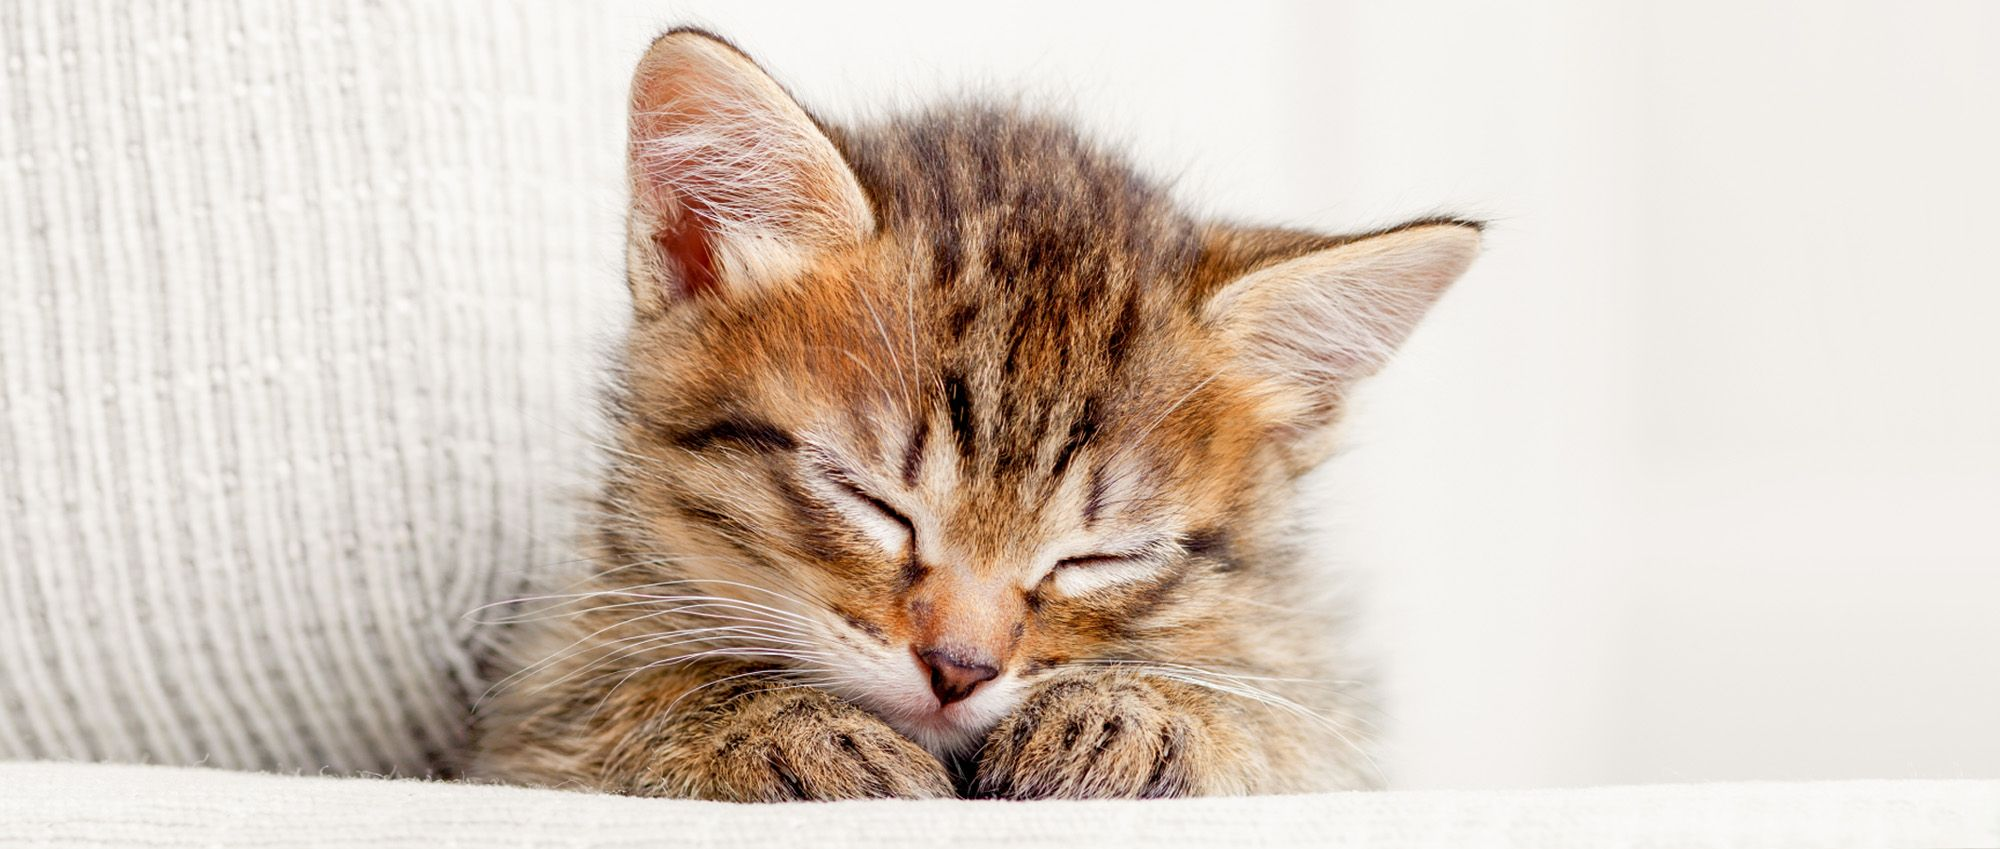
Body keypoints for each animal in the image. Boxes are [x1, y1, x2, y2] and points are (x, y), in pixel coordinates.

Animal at [460, 24, 1480, 796]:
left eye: (1101, 558)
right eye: (865, 498)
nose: (960, 668)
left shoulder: (1306, 666)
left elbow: (1283, 715)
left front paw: (1144, 715)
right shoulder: (542, 701)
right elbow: (617, 699)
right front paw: (770, 723)